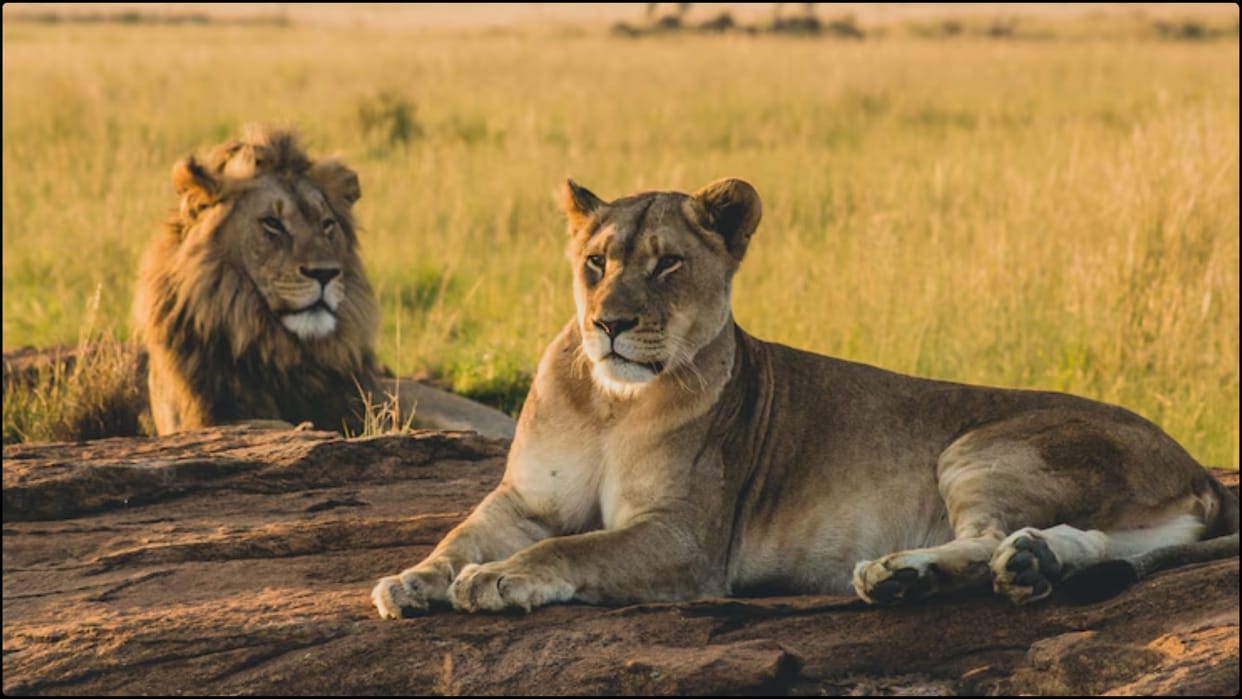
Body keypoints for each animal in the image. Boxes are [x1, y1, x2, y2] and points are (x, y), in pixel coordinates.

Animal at [372, 177, 1238, 617]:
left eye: (668, 264)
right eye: (595, 262)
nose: (609, 324)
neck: (611, 403)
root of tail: (1197, 468)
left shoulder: (685, 538)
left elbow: (571, 549)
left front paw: (496, 580)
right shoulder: (525, 498)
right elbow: (461, 533)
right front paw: (413, 580)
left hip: (980, 446)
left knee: (988, 535)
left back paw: (902, 573)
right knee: (1077, 542)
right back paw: (1024, 562)